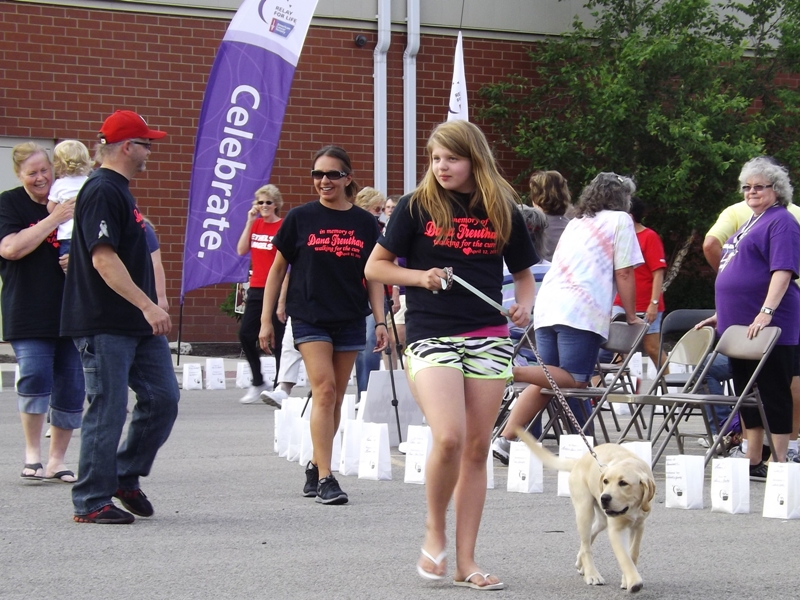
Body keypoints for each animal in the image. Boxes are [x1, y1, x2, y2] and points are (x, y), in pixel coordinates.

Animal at [516, 428, 656, 593]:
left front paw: (626, 579)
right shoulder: (615, 530)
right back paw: (592, 574)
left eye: (623, 483)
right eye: (606, 481)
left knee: (589, 538)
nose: (604, 497)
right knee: (586, 545)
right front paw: (634, 581)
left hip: (601, 518)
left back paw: (580, 562)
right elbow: (624, 557)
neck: (631, 508)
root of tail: (578, 461)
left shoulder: (639, 526)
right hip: (584, 510)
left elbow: (633, 553)